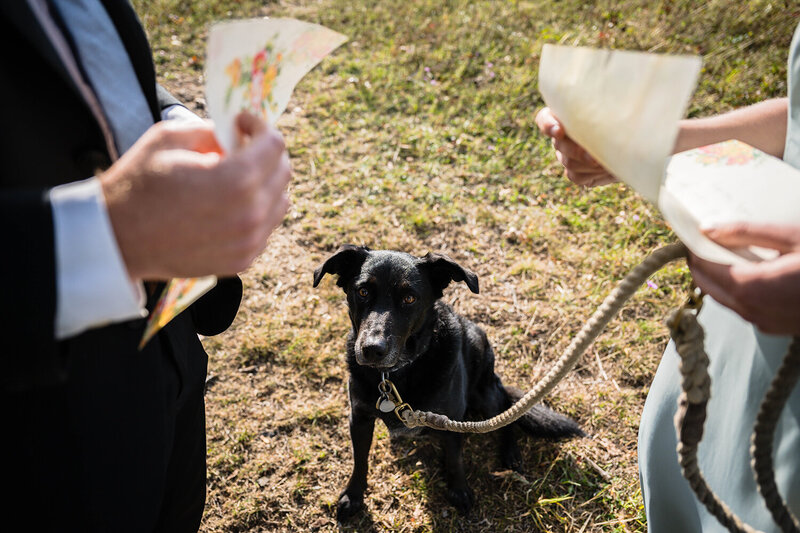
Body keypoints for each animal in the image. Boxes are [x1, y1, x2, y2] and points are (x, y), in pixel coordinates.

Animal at [310, 245, 580, 520]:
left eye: (410, 299)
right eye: (363, 292)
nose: (372, 349)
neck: (396, 373)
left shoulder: (452, 419)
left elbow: (454, 458)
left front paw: (459, 490)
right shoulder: (360, 417)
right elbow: (360, 459)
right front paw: (353, 495)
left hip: (484, 390)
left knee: (505, 407)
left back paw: (510, 452)